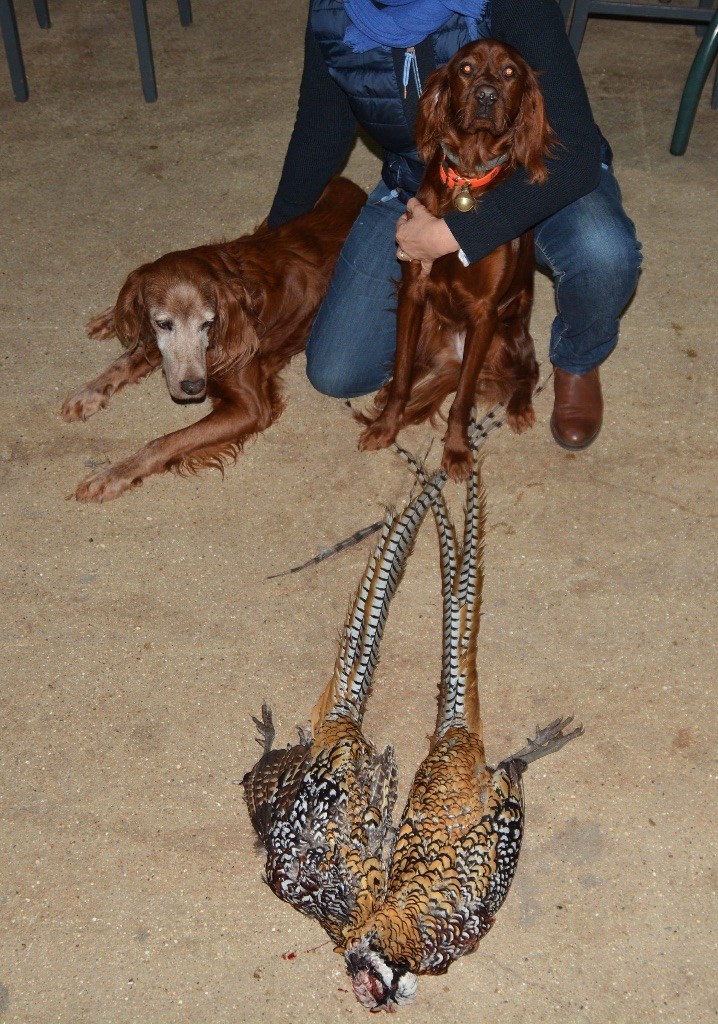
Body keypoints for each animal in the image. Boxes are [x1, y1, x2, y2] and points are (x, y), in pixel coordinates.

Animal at [61, 177, 364, 503]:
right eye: (163, 323)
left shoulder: (250, 407)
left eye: (208, 323)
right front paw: (89, 392)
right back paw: (111, 315)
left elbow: (166, 441)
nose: (194, 387)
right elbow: (125, 362)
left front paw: (113, 475)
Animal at [358, 41, 553, 481]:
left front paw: (458, 450)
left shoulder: (485, 313)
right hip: (433, 322)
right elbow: (402, 372)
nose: (487, 96)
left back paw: (520, 407)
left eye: (510, 72)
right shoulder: (414, 289)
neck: (466, 174)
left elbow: (463, 398)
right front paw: (386, 426)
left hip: (507, 336)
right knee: (413, 363)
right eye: (465, 68)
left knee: (529, 370)